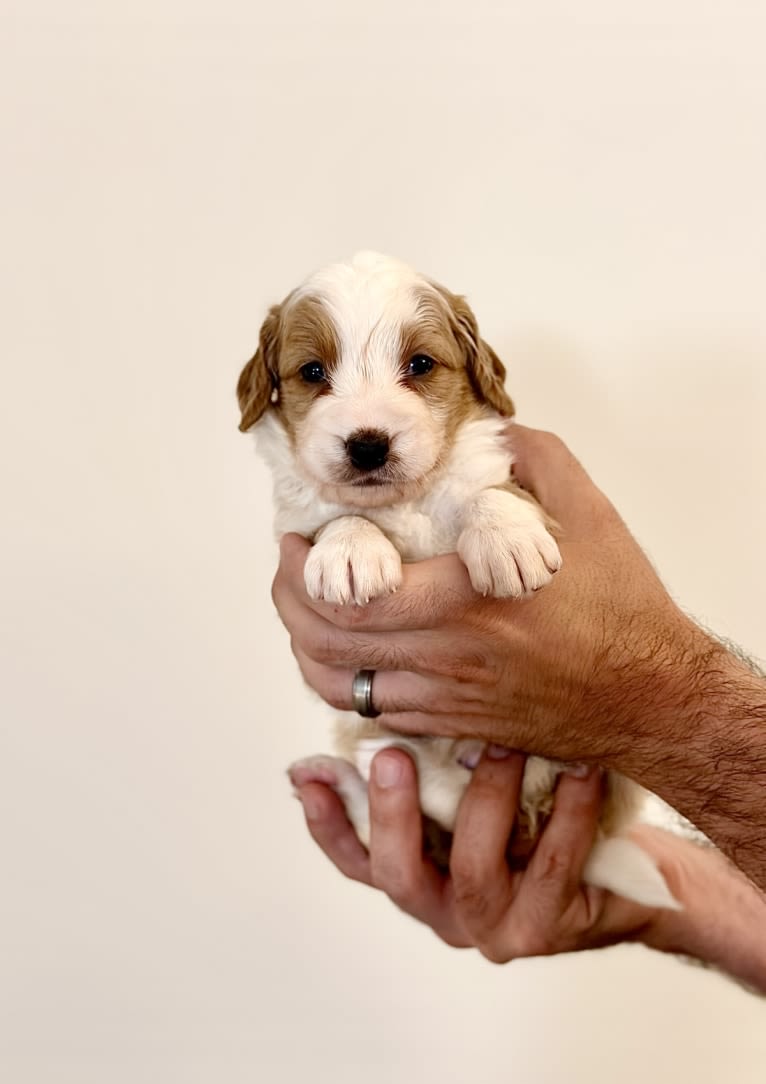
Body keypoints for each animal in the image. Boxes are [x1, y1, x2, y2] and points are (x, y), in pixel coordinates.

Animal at [241, 249, 684, 910]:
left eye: (421, 365)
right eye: (312, 371)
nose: (367, 446)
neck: (407, 500)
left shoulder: (503, 470)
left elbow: (491, 491)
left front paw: (508, 541)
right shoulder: (296, 526)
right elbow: (336, 515)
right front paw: (352, 547)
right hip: (392, 751)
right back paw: (334, 778)